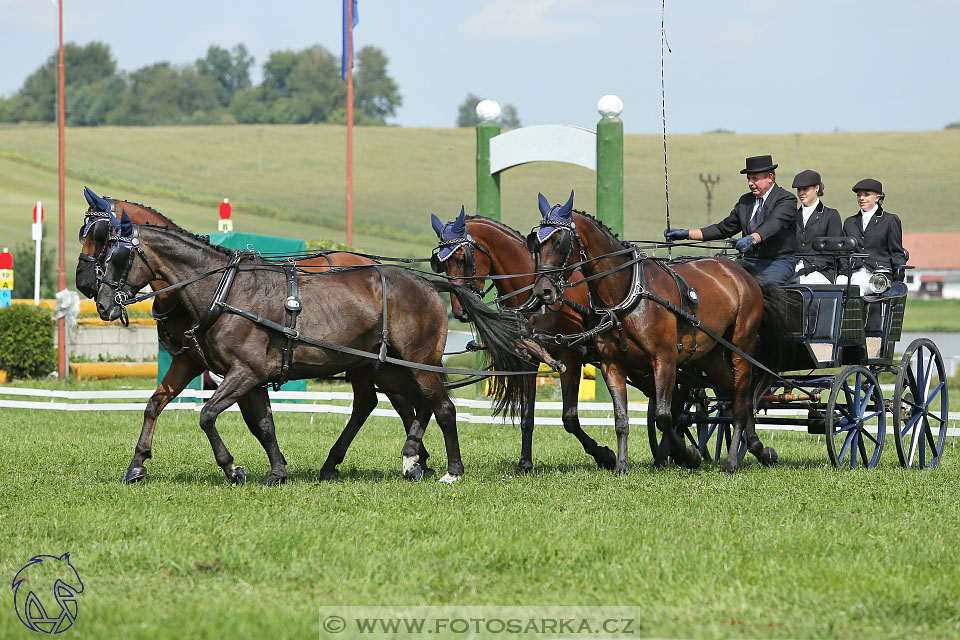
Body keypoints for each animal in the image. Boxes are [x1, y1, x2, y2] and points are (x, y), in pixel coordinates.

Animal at [93, 218, 536, 482]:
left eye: (117, 256)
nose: (101, 303)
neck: (226, 291)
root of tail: (428, 284)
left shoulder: (245, 372)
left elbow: (206, 415)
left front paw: (232, 468)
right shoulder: (247, 377)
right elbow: (259, 423)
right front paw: (275, 471)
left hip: (417, 361)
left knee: (441, 407)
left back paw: (450, 470)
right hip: (387, 367)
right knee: (404, 406)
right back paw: (406, 458)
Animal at [428, 208, 616, 472]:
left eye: (463, 258)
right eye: (441, 264)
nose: (459, 311)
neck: (534, 298)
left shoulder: (570, 357)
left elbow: (569, 418)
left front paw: (604, 455)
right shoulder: (528, 360)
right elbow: (527, 415)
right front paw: (525, 462)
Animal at [524, 192, 788, 472]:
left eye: (560, 241)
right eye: (536, 243)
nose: (543, 291)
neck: (628, 292)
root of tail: (739, 270)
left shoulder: (665, 360)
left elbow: (664, 416)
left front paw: (688, 455)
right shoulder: (612, 364)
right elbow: (621, 419)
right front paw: (621, 465)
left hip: (741, 345)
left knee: (739, 398)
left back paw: (730, 462)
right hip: (710, 356)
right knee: (736, 397)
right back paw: (759, 449)